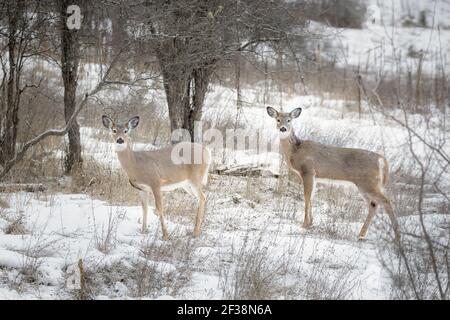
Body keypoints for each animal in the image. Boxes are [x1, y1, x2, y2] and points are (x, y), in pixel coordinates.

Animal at [266, 106, 400, 241]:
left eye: (289, 120)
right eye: (278, 120)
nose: (283, 128)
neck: (295, 150)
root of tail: (383, 160)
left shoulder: (308, 170)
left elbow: (306, 197)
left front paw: (304, 224)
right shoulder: (314, 176)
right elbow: (312, 197)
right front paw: (311, 223)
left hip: (369, 183)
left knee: (386, 201)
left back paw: (397, 236)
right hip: (365, 185)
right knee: (374, 205)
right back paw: (361, 235)